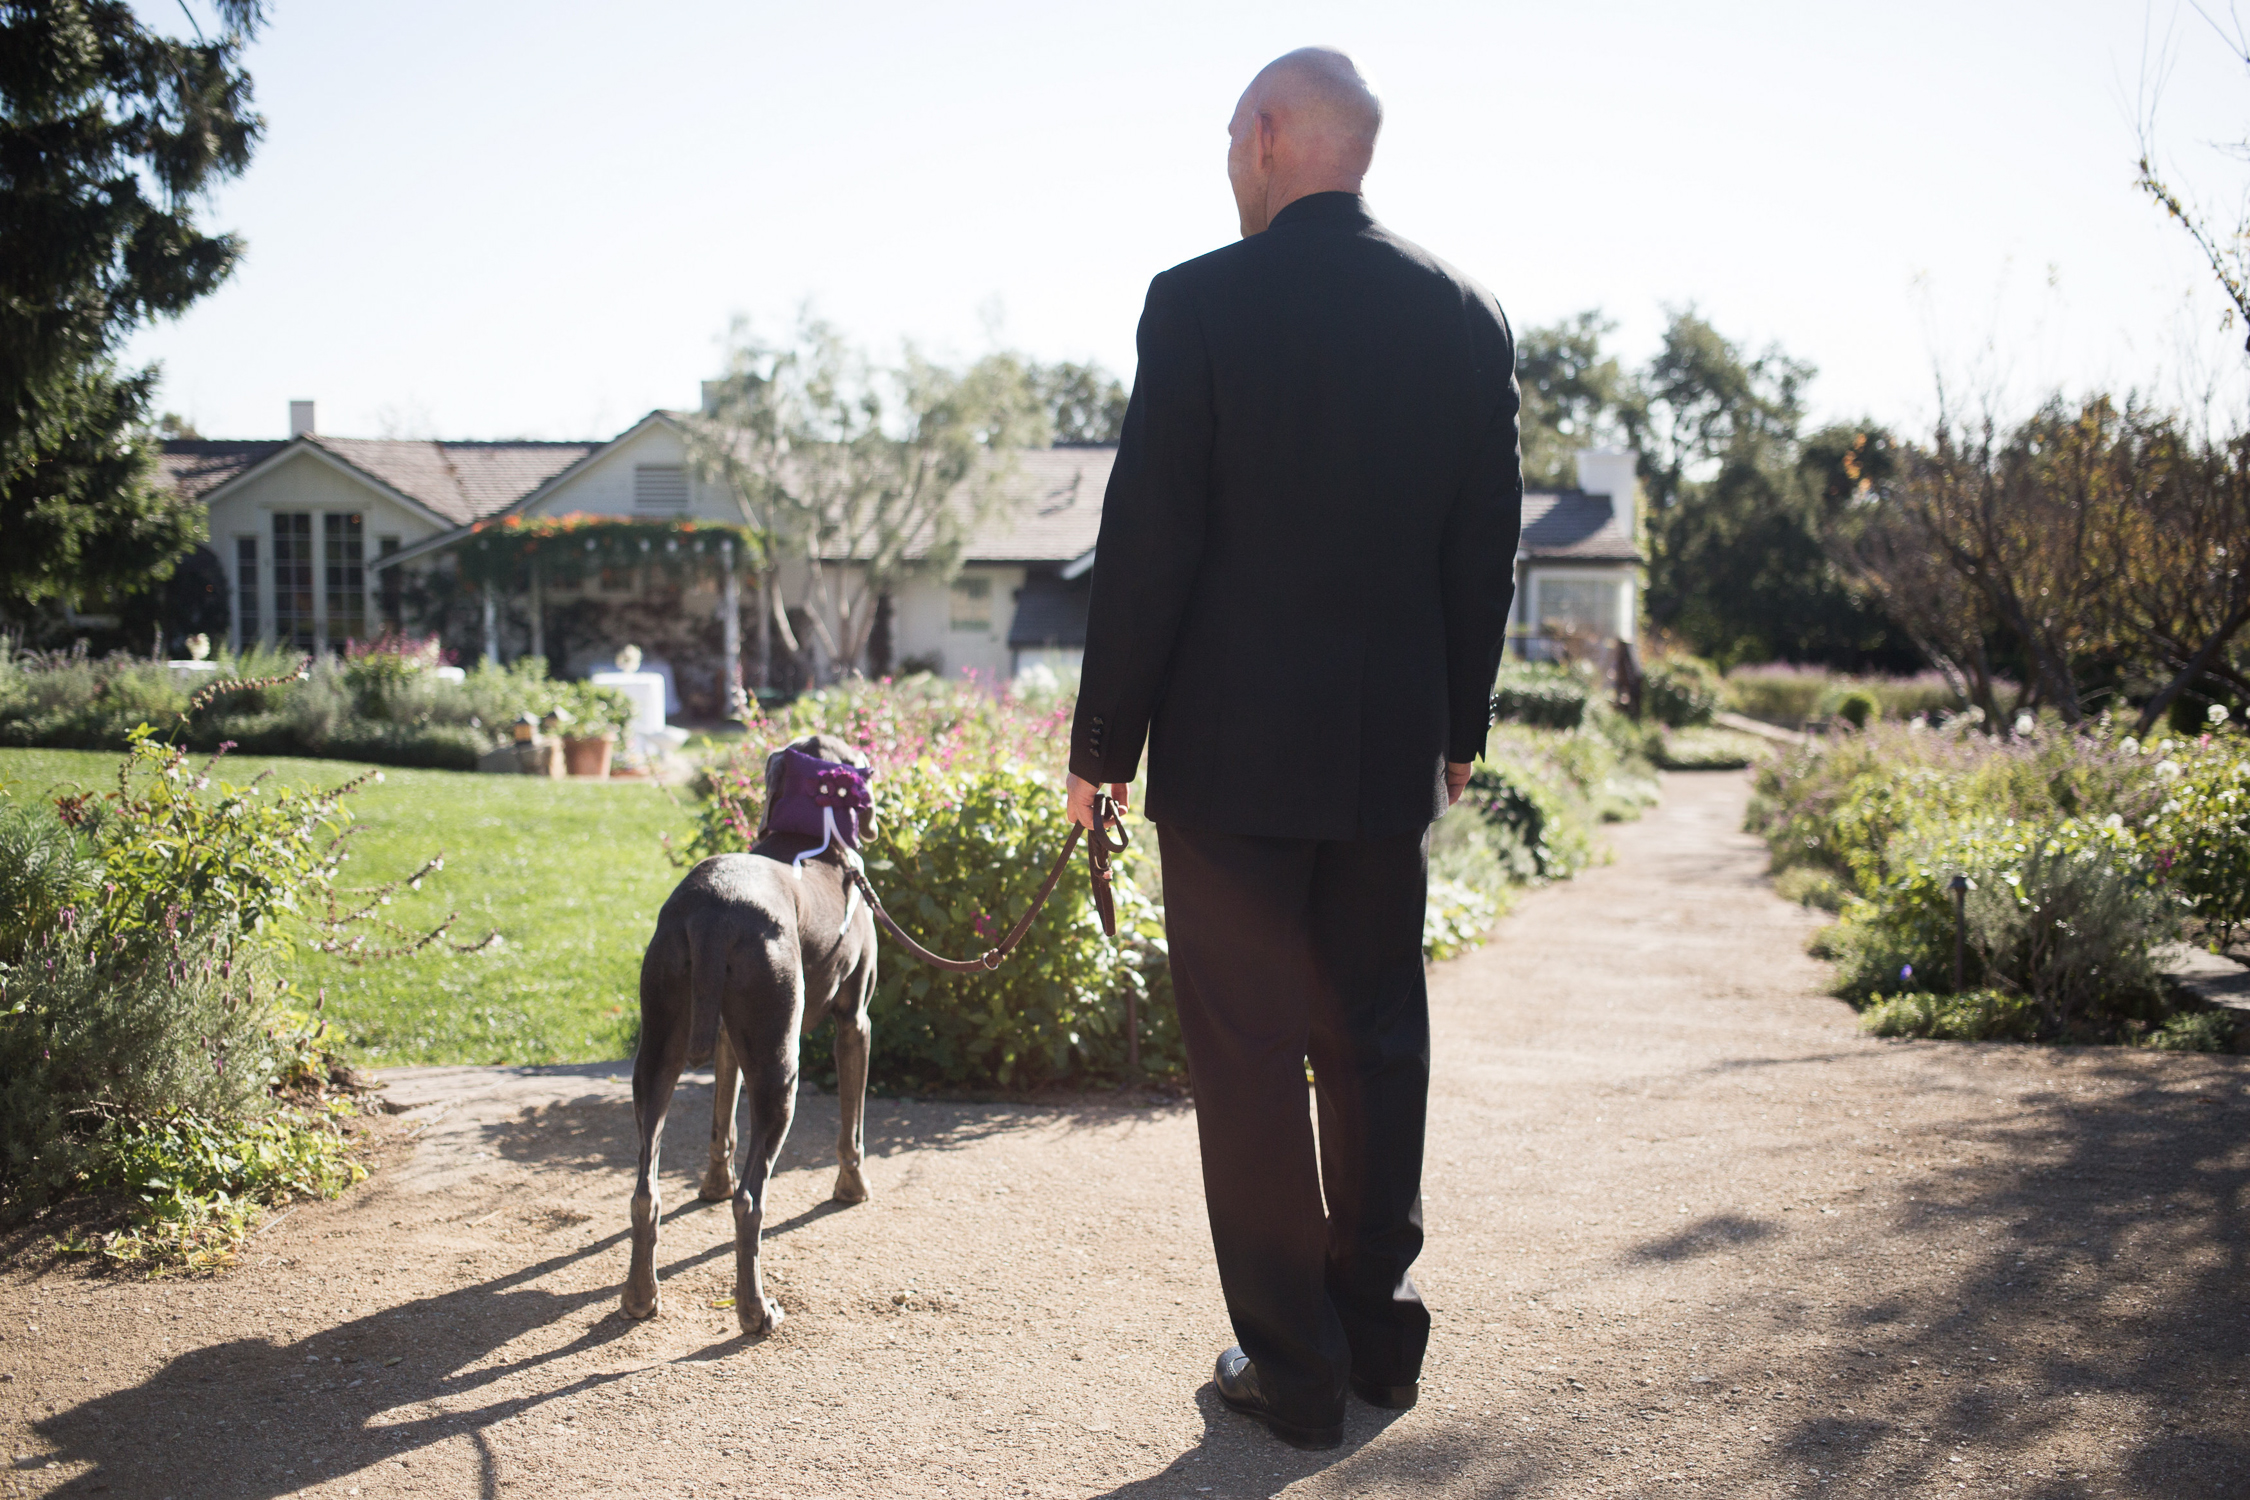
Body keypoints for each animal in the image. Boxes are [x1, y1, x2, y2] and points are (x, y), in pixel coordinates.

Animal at [634, 733, 886, 1331]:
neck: (811, 841)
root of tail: (713, 912)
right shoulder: (855, 1022)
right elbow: (852, 1128)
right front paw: (852, 1189)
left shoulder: (729, 1040)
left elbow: (720, 1121)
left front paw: (711, 1183)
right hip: (780, 1065)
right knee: (750, 1201)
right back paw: (755, 1311)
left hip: (660, 1044)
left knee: (644, 1191)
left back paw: (639, 1298)